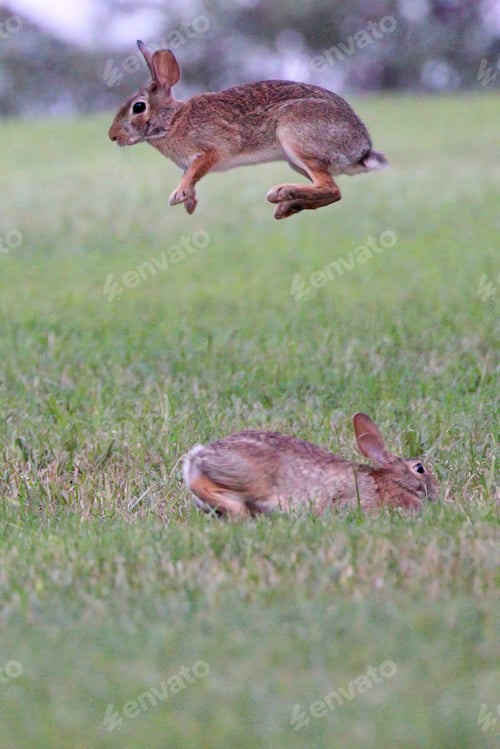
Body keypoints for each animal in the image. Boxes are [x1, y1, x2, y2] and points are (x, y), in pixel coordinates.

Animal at [108, 41, 388, 219]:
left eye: (138, 107)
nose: (112, 136)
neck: (172, 120)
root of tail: (361, 149)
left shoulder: (212, 150)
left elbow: (194, 171)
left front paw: (178, 195)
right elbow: (192, 176)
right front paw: (190, 203)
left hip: (295, 136)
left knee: (331, 188)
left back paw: (281, 193)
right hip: (296, 160)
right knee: (332, 192)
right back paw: (286, 207)